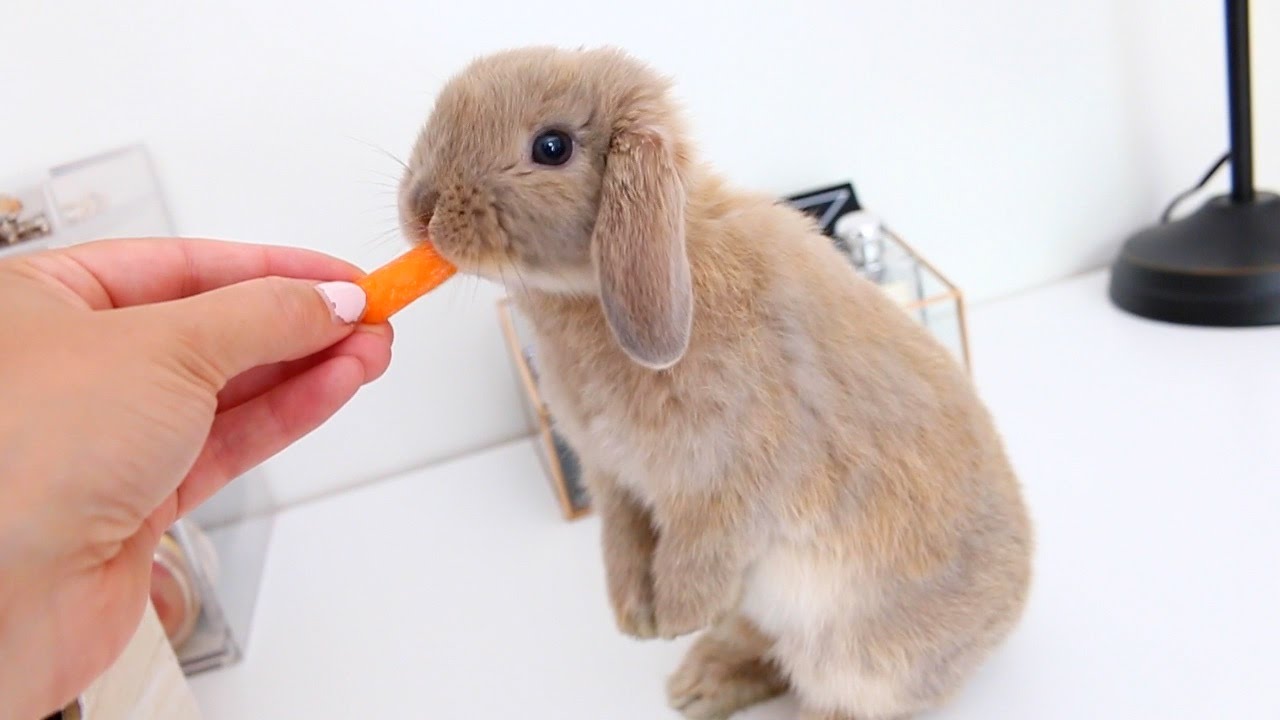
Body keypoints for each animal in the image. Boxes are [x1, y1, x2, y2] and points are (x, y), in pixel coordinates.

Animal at [404, 46, 1034, 717]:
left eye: (552, 147)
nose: (421, 208)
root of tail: (1010, 613)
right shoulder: (613, 481)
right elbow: (621, 543)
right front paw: (633, 618)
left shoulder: (727, 487)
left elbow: (697, 554)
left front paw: (675, 616)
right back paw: (697, 685)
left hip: (860, 657)